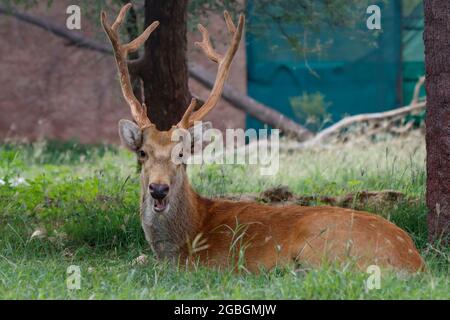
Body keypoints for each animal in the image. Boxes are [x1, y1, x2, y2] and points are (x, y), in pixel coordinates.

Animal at [100, 3, 424, 272]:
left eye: (182, 154)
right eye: (142, 153)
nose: (158, 189)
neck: (185, 238)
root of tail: (414, 261)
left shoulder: (207, 265)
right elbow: (137, 257)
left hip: (320, 244)